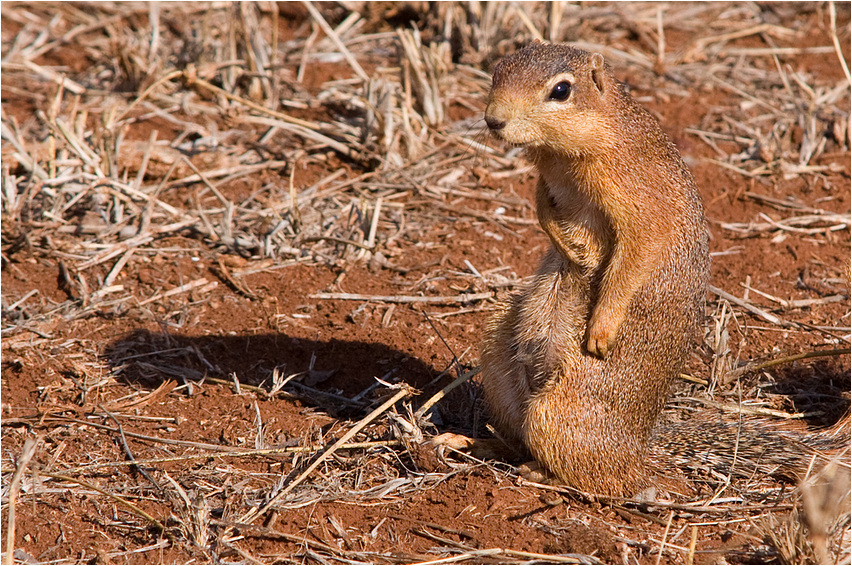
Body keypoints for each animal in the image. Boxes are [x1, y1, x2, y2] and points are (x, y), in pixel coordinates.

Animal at [476, 43, 848, 496]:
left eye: (561, 90)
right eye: (498, 69)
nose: (493, 119)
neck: (564, 155)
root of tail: (643, 446)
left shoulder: (641, 204)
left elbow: (634, 258)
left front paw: (601, 328)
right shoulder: (547, 183)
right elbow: (542, 208)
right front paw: (566, 246)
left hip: (557, 415)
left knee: (605, 478)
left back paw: (540, 471)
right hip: (496, 354)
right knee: (520, 437)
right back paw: (477, 443)